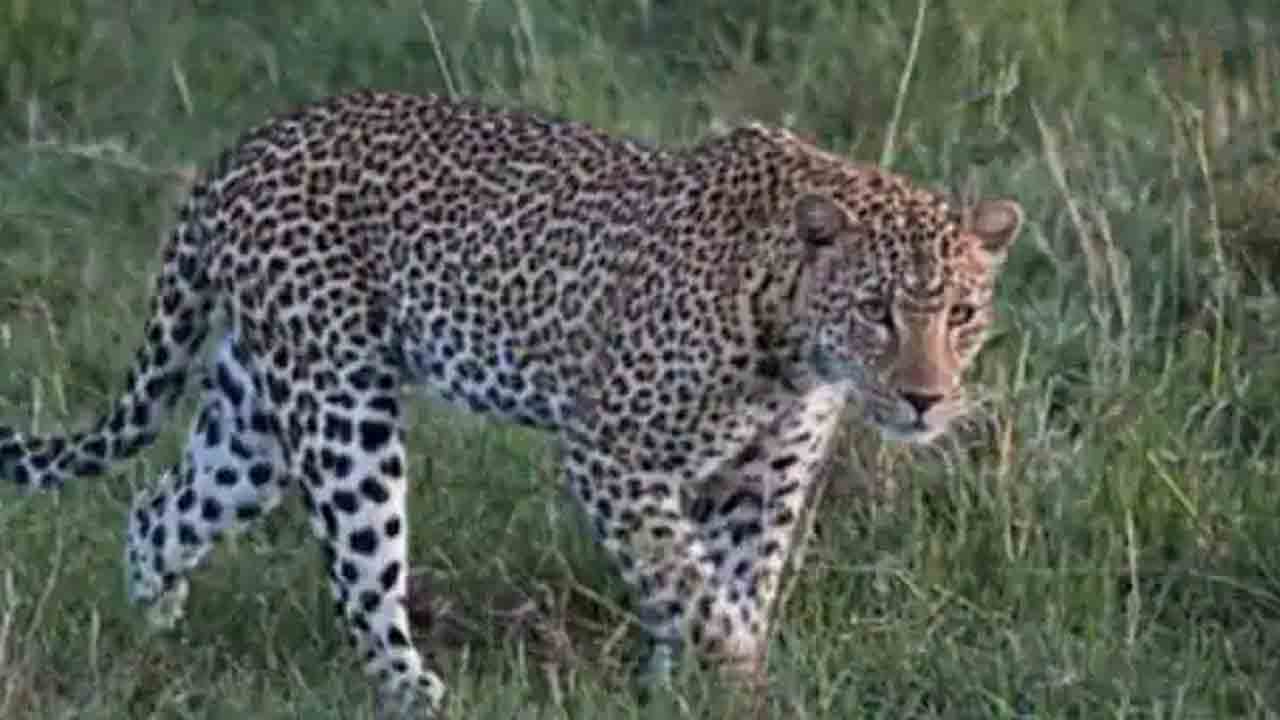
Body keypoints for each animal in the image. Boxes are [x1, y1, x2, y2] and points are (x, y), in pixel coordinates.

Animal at [0, 89, 1022, 718]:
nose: (926, 401)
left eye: (962, 314)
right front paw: (737, 675)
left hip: (255, 415)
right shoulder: (613, 455)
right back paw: (416, 694)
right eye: (876, 311)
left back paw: (153, 636)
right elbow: (691, 586)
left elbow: (724, 584)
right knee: (362, 576)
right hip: (341, 411)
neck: (790, 346)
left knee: (159, 509)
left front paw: (689, 690)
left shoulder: (762, 483)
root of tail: (241, 152)